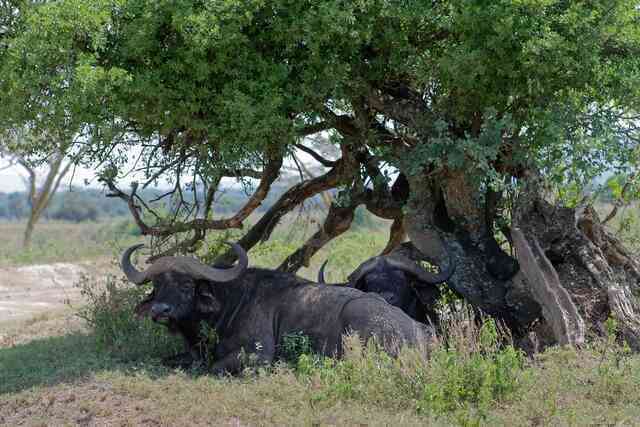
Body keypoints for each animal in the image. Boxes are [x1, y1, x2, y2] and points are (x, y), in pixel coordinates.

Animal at [121, 244, 436, 374]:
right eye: (157, 284)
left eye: (187, 284)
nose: (160, 310)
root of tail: (421, 331)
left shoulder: (258, 356)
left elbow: (213, 367)